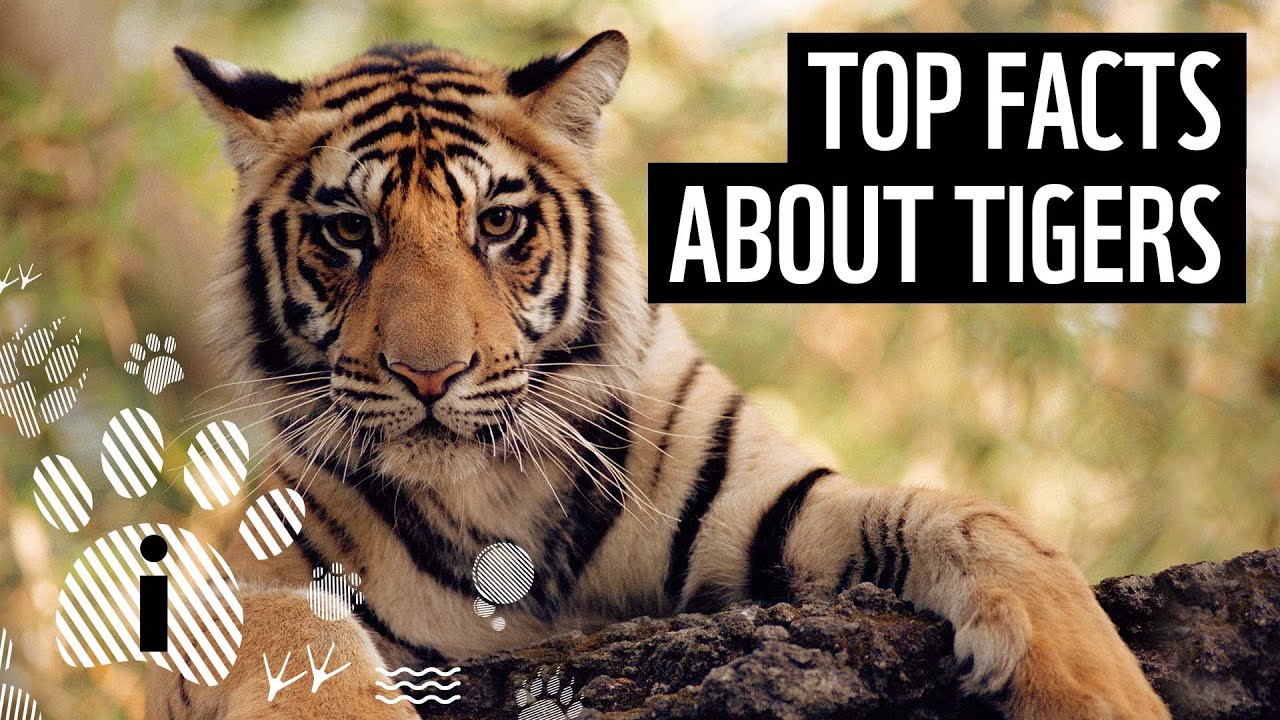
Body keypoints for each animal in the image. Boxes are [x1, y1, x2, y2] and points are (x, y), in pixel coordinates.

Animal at [147, 30, 1170, 720]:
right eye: (349, 231)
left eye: (498, 223)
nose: (430, 375)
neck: (495, 490)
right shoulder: (228, 590)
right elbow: (292, 627)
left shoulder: (770, 505)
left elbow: (978, 522)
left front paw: (1102, 692)